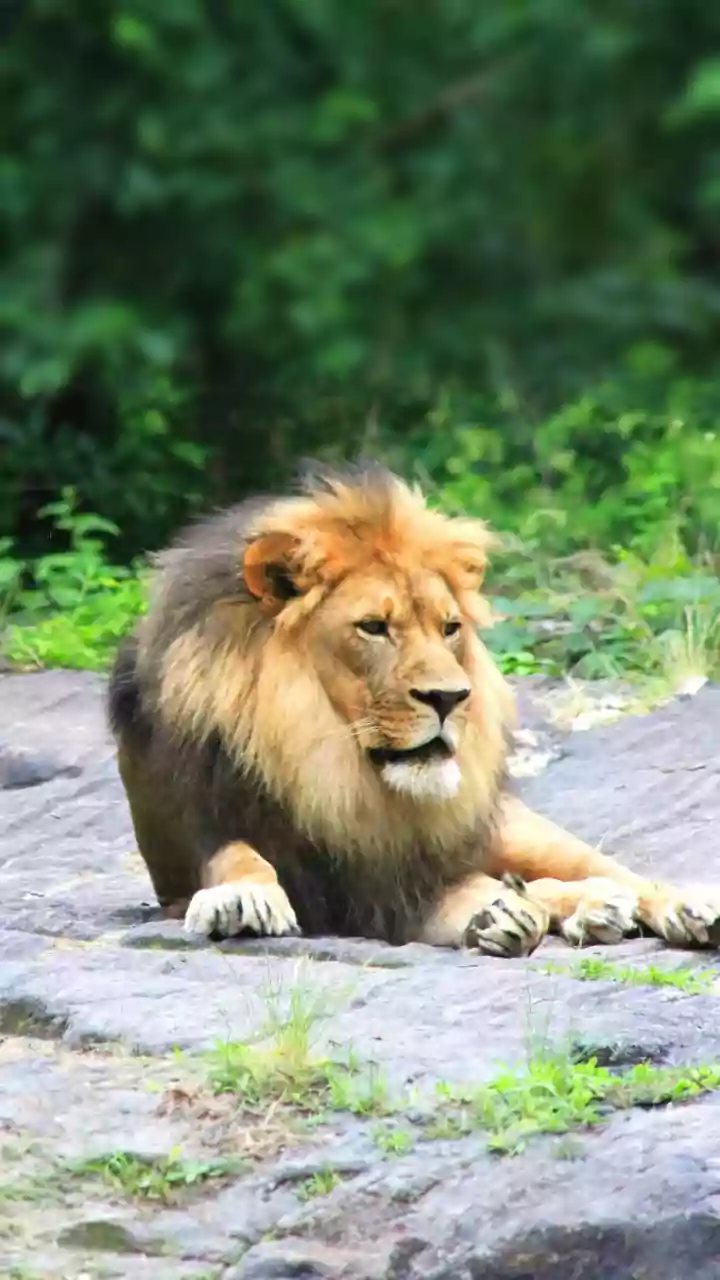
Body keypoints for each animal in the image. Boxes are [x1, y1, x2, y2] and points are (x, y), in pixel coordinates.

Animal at [108, 462, 720, 957]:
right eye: (374, 627)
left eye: (449, 628)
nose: (449, 698)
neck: (323, 760)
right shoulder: (192, 838)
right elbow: (234, 855)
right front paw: (242, 897)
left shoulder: (396, 884)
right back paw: (592, 912)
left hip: (515, 829)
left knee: (610, 874)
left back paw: (678, 909)